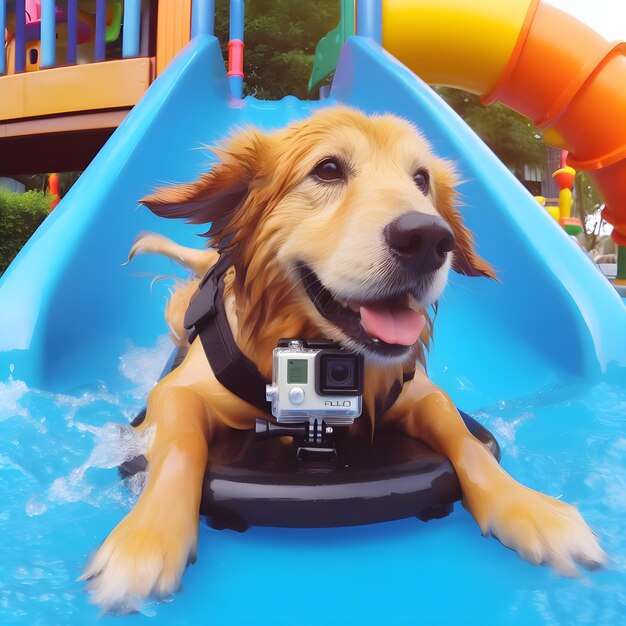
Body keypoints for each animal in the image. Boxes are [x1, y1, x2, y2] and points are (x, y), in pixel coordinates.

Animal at [83, 105, 604, 608]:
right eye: (328, 169)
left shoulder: (418, 392)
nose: (429, 239)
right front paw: (146, 540)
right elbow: (180, 446)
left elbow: (466, 440)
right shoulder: (178, 392)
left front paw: (529, 507)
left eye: (421, 179)